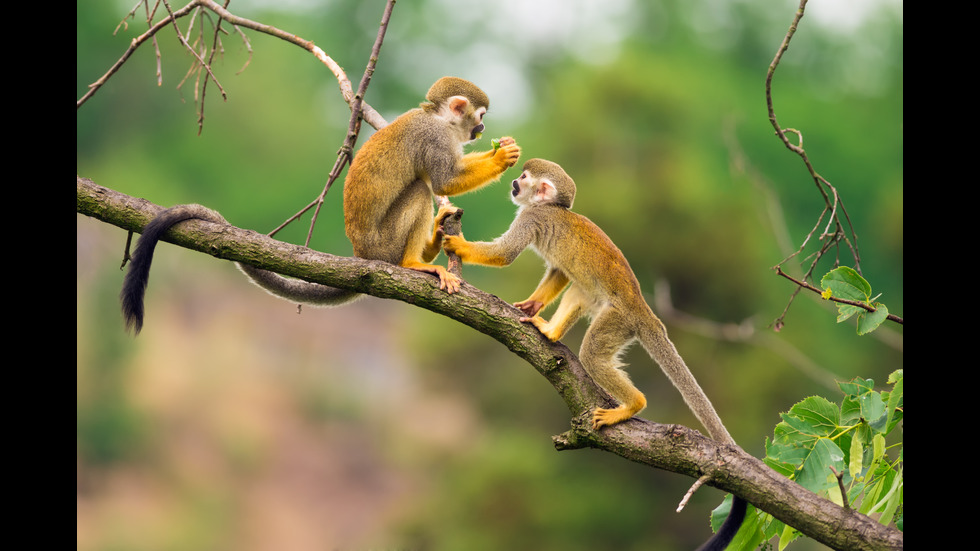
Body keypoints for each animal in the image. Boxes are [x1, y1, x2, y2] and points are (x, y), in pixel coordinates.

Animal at [120, 76, 520, 334]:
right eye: (480, 116)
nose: (483, 130)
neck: (439, 119)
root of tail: (362, 255)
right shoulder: (435, 138)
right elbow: (442, 181)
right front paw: (502, 158)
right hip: (384, 244)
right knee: (420, 190)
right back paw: (413, 263)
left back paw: (434, 240)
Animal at [440, 157, 748, 548]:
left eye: (523, 178)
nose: (512, 183)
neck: (550, 208)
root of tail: (644, 309)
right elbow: (558, 271)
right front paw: (532, 305)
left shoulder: (532, 218)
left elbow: (506, 254)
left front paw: (458, 244)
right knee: (579, 287)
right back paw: (551, 331)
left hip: (618, 320)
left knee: (592, 353)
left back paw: (632, 405)